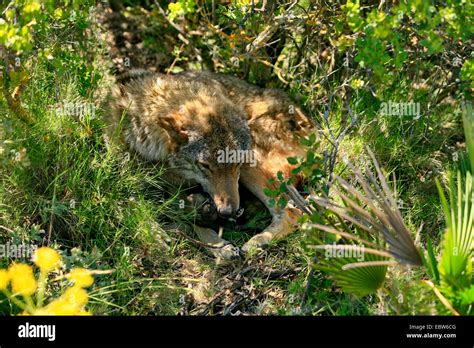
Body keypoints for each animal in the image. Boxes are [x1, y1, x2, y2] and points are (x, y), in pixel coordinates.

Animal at [106, 70, 314, 258]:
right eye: (206, 166)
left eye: (237, 163)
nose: (229, 212)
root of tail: (312, 127)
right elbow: (129, 201)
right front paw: (156, 234)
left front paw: (217, 245)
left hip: (254, 169)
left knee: (292, 212)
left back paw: (257, 241)